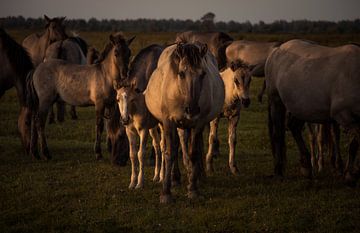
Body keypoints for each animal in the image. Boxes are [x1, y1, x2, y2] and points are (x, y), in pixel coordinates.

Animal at [27, 32, 135, 160]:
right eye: (116, 53)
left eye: (129, 52)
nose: (125, 74)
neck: (105, 75)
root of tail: (36, 69)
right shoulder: (99, 104)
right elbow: (100, 125)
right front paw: (98, 153)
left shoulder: (111, 104)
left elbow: (109, 124)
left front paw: (110, 148)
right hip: (45, 101)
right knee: (39, 122)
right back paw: (46, 153)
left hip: (39, 102)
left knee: (34, 121)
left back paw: (34, 153)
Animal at [144, 42, 224, 203]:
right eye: (181, 73)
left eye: (203, 74)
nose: (192, 109)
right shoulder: (169, 122)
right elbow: (170, 152)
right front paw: (166, 193)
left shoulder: (198, 123)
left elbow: (193, 153)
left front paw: (193, 189)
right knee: (175, 147)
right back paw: (175, 178)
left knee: (196, 147)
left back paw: (199, 176)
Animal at [266, 38, 360, 186]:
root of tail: (277, 50)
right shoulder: (343, 116)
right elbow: (356, 142)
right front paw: (350, 175)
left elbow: (354, 143)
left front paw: (350, 173)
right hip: (276, 101)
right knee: (278, 135)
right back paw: (279, 171)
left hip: (300, 108)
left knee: (294, 127)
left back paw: (306, 166)